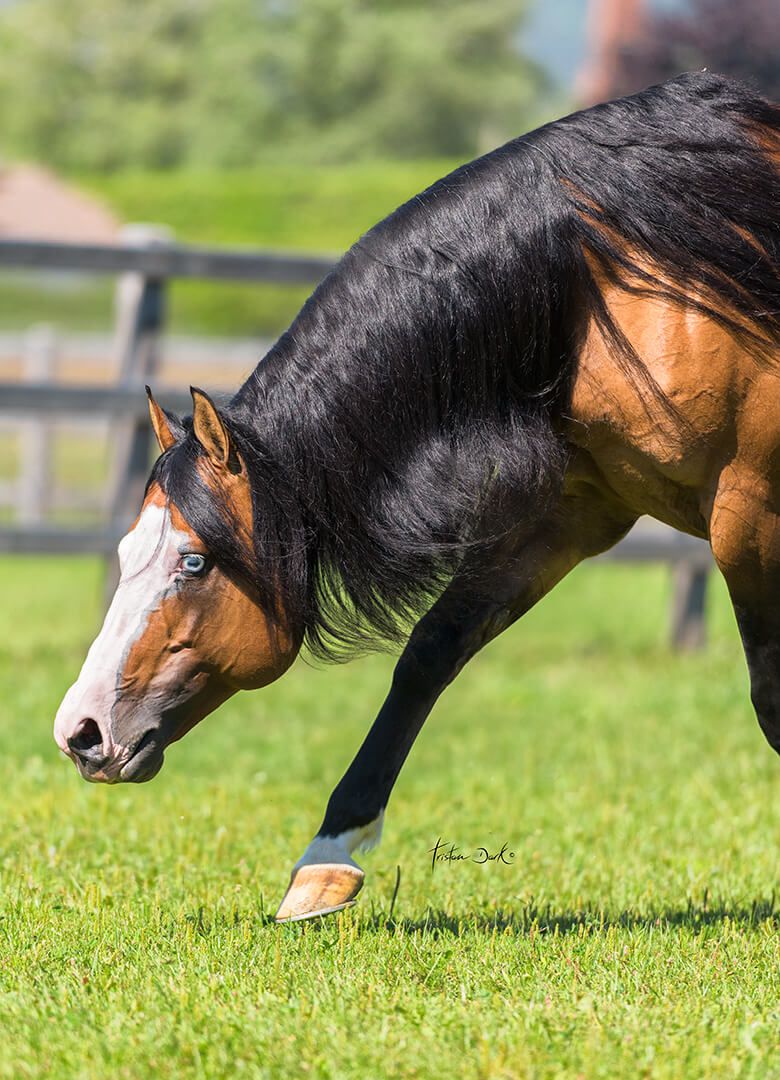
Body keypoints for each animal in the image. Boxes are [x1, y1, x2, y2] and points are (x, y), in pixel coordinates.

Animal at [54, 73, 779, 922]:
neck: (628, 281)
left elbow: (769, 695)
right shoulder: (567, 515)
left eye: (194, 562)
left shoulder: (748, 516)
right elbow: (430, 653)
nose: (81, 731)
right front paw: (324, 865)